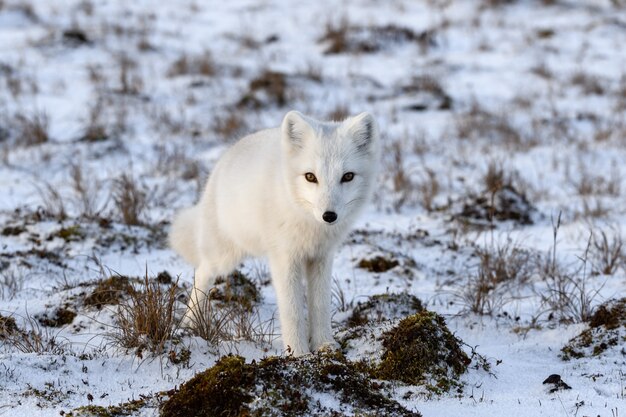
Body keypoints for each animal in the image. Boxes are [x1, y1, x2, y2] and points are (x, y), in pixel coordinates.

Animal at [168, 110, 378, 354]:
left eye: (347, 176)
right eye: (310, 177)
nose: (329, 216)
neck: (309, 224)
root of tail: (224, 159)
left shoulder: (322, 257)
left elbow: (320, 304)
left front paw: (324, 344)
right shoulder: (285, 257)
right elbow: (292, 310)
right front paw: (299, 353)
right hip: (224, 255)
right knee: (202, 273)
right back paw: (190, 323)